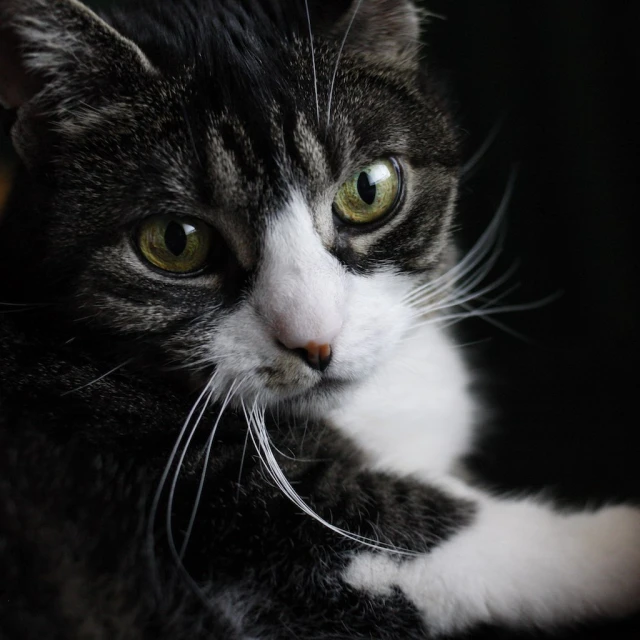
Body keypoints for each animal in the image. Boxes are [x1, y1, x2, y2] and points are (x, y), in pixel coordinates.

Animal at [1, 0, 640, 636]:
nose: (313, 339)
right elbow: (429, 533)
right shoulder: (211, 508)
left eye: (369, 188)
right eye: (176, 240)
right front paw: (615, 542)